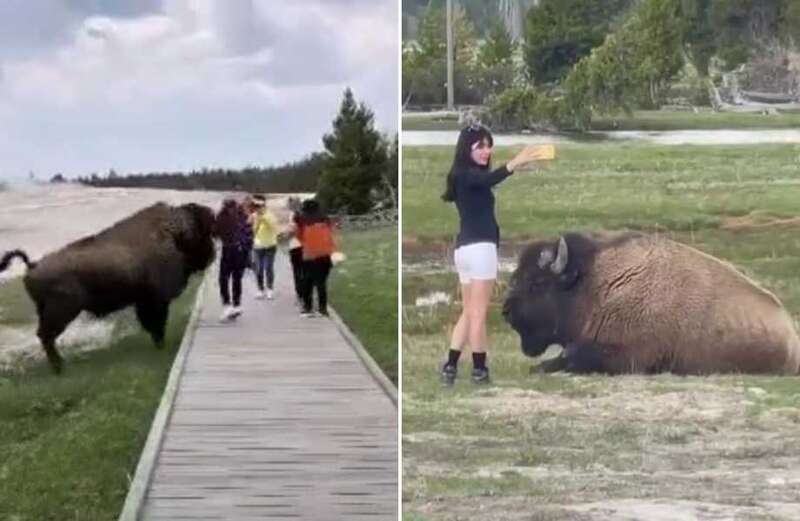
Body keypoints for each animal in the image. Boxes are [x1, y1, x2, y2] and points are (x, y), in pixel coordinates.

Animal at [0, 201, 216, 372]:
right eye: (204, 233)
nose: (213, 254)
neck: (174, 234)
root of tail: (33, 265)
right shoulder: (156, 301)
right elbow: (156, 323)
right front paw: (161, 345)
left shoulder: (144, 301)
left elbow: (151, 324)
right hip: (62, 311)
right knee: (46, 335)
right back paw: (60, 367)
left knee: (45, 336)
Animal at [504, 232, 800, 374]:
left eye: (537, 282)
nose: (507, 312)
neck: (596, 284)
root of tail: (791, 334)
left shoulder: (629, 355)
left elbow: (572, 355)